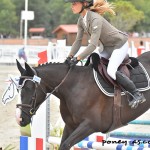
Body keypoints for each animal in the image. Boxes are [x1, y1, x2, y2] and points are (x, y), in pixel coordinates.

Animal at [15, 51, 150, 150]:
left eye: (29, 88)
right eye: (17, 89)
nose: (20, 119)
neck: (72, 87)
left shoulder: (89, 125)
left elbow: (66, 145)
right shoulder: (70, 125)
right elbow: (63, 145)